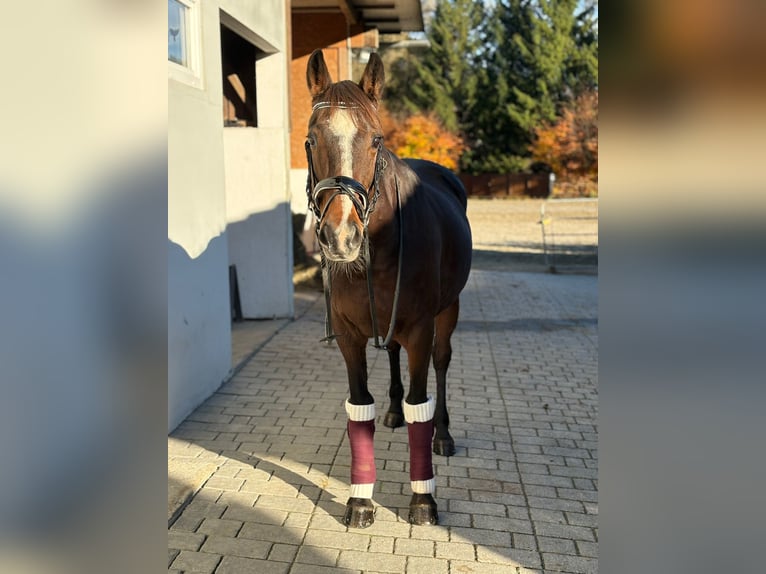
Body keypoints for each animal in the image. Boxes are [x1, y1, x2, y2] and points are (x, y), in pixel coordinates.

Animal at [304, 49, 472, 528]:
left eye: (376, 140)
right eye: (311, 139)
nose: (341, 236)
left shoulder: (419, 328)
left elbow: (422, 402)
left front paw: (423, 498)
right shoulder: (348, 335)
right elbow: (360, 405)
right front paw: (360, 500)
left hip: (447, 312)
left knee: (441, 364)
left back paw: (443, 434)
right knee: (392, 355)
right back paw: (395, 412)